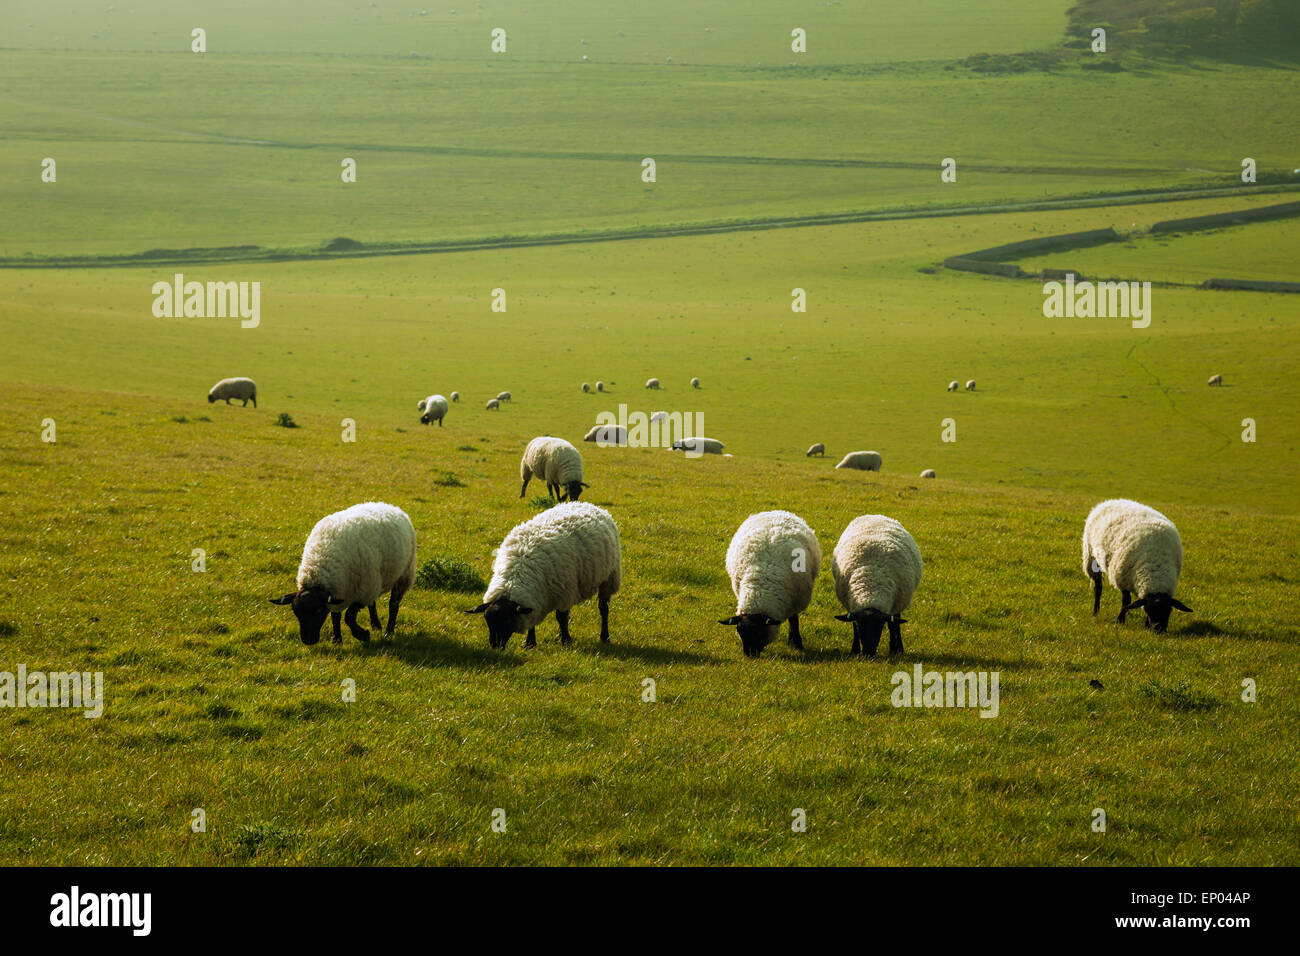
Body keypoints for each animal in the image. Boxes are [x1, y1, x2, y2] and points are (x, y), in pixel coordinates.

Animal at [269, 502, 416, 650]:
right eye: (295, 611)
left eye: (318, 611)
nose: (308, 641)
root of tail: (388, 505)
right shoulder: (340, 590)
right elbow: (336, 616)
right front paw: (337, 640)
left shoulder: (361, 592)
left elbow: (349, 617)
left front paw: (362, 635)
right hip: (374, 582)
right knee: (373, 603)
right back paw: (376, 625)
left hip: (402, 575)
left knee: (393, 604)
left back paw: (388, 632)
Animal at [465, 502, 621, 650]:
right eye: (487, 620)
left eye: (507, 620)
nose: (495, 646)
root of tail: (588, 504)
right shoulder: (535, 599)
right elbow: (533, 620)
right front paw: (530, 643)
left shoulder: (564, 593)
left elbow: (562, 618)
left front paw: (566, 640)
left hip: (609, 578)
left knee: (603, 609)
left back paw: (604, 637)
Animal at [722, 509, 821, 658]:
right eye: (739, 631)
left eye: (759, 633)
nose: (749, 655)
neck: (760, 590)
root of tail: (777, 511)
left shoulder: (795, 601)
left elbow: (794, 620)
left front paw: (796, 643)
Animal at [832, 515, 925, 658]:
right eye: (861, 626)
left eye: (880, 626)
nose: (869, 654)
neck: (871, 587)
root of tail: (875, 515)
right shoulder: (851, 606)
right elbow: (853, 626)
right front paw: (855, 650)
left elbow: (893, 625)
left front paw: (894, 650)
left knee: (896, 623)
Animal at [1081, 496, 1190, 632]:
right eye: (1149, 610)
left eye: (1169, 611)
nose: (1158, 630)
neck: (1156, 567)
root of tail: (1112, 501)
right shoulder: (1123, 579)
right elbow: (1126, 601)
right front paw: (1120, 620)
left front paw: (1145, 625)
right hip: (1091, 557)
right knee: (1098, 587)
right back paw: (1095, 612)